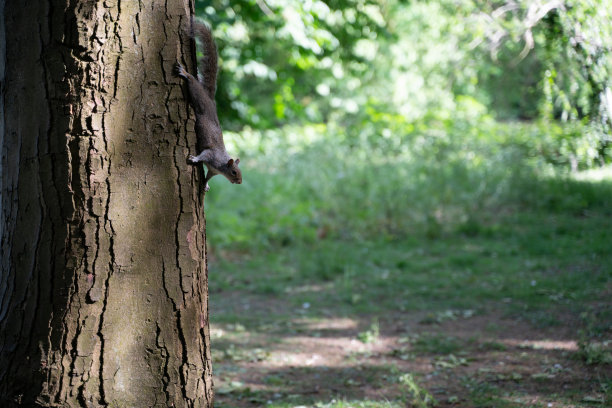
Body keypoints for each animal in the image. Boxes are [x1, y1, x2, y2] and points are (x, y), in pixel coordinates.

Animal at [175, 19, 241, 191]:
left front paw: (205, 185)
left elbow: (208, 177)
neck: (221, 165)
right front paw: (195, 159)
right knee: (193, 84)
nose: (239, 182)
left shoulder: (212, 170)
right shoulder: (211, 156)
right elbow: (203, 154)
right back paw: (186, 74)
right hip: (199, 99)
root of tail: (211, 100)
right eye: (233, 172)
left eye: (240, 172)